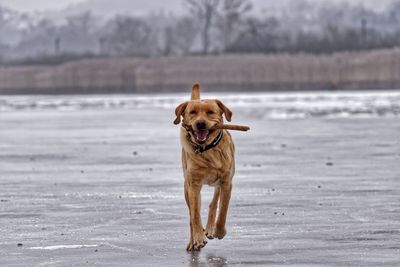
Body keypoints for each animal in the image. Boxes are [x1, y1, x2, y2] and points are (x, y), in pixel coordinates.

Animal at [174, 83, 236, 251]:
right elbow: (195, 215)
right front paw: (198, 238)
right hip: (187, 188)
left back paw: (210, 228)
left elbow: (222, 211)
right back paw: (193, 241)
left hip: (218, 184)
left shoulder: (226, 182)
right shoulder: (193, 185)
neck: (207, 150)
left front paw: (219, 231)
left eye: (210, 112)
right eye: (192, 112)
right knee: (192, 214)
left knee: (213, 203)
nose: (200, 123)